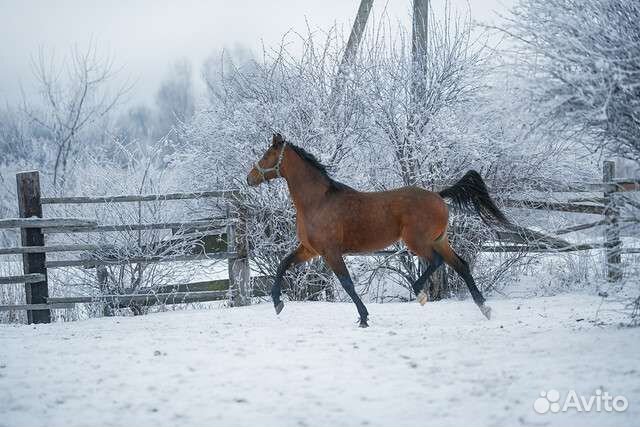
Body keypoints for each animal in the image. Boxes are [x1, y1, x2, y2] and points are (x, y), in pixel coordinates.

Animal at [248, 134, 508, 328]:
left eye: (267, 155)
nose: (250, 178)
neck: (317, 202)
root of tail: (438, 196)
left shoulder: (331, 252)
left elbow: (347, 283)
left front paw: (363, 317)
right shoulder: (310, 250)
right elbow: (283, 264)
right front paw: (277, 302)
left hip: (418, 242)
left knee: (436, 262)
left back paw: (420, 293)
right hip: (440, 240)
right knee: (461, 265)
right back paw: (484, 308)